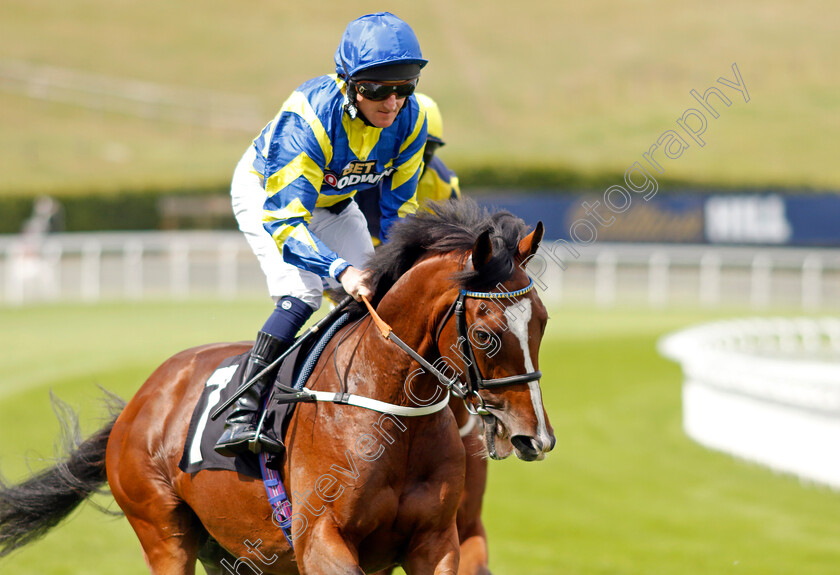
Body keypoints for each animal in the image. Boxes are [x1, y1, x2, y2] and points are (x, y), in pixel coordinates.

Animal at [1, 200, 556, 572]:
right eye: (484, 334)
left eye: (543, 320)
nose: (535, 437)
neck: (389, 411)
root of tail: (141, 401)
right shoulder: (321, 542)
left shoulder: (437, 540)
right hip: (163, 530)